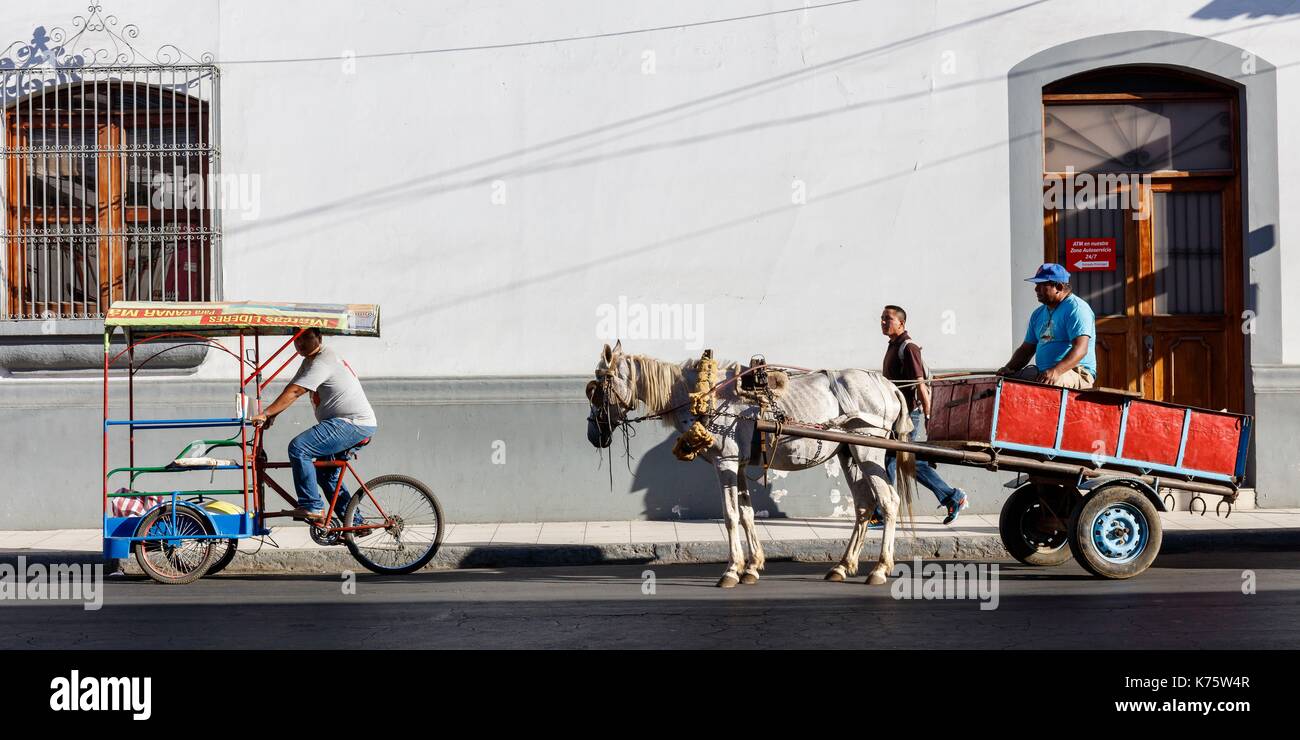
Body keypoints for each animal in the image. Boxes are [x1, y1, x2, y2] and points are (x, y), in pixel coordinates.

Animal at [590, 340, 915, 587]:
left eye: (596, 389)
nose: (595, 435)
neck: (703, 396)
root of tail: (889, 386)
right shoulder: (740, 464)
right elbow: (746, 514)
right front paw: (752, 566)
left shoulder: (726, 462)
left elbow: (731, 515)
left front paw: (732, 570)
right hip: (849, 453)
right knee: (863, 506)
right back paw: (843, 566)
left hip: (869, 450)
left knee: (888, 501)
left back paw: (880, 568)